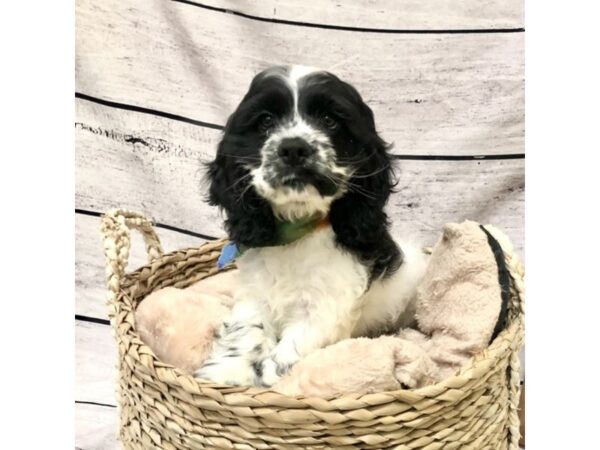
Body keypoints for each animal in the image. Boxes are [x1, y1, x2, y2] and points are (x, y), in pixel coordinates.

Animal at [193, 65, 426, 384]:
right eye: (265, 121)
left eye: (329, 120)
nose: (293, 148)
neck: (296, 229)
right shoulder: (254, 294)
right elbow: (247, 330)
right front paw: (225, 372)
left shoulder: (327, 304)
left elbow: (300, 339)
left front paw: (272, 374)